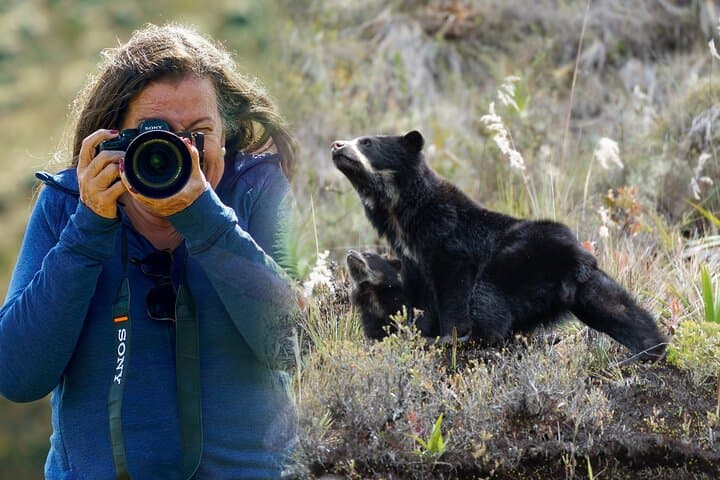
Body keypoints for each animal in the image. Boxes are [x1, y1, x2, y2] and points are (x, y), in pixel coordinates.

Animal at [332, 130, 668, 361]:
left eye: (367, 142)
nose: (336, 146)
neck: (404, 217)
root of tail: (574, 255)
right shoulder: (411, 258)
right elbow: (416, 299)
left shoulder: (448, 241)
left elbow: (453, 288)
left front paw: (448, 336)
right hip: (583, 283)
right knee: (614, 305)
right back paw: (649, 348)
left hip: (515, 263)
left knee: (487, 300)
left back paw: (474, 339)